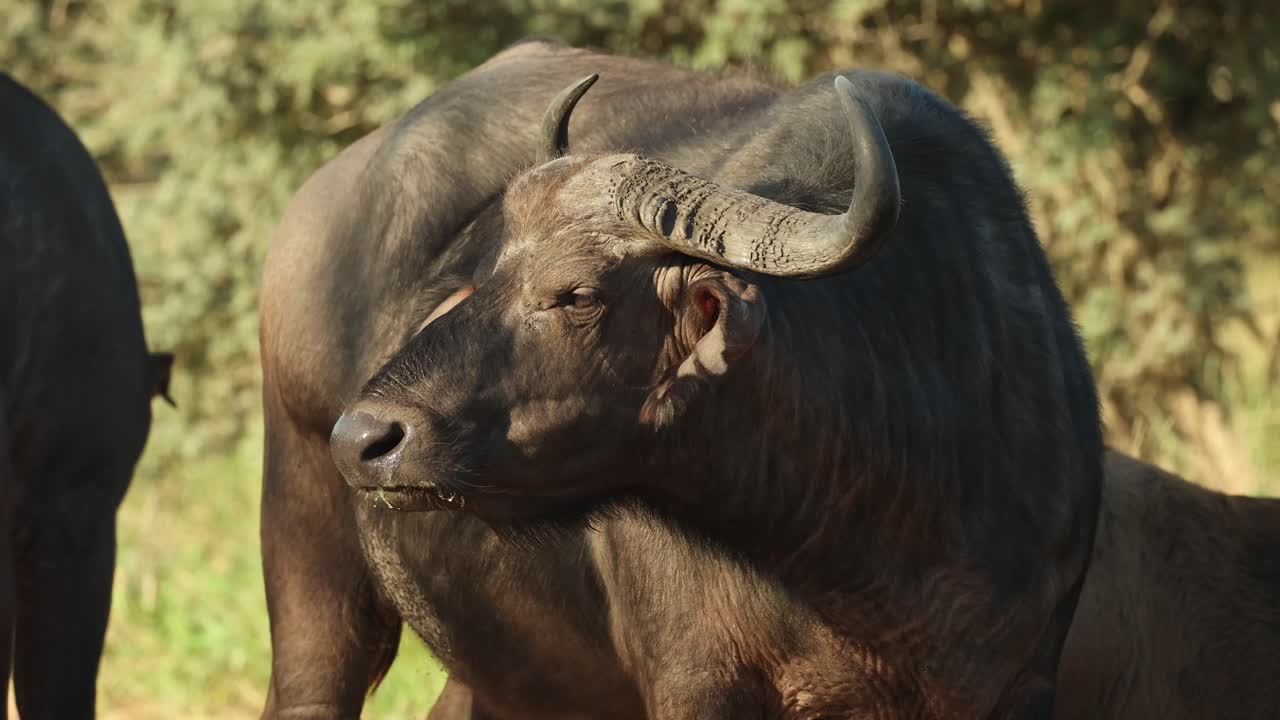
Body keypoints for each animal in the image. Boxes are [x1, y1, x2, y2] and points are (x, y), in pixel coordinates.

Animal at [260, 39, 1102, 718]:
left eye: (576, 294)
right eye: (485, 271)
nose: (366, 437)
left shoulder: (1024, 678)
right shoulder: (698, 680)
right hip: (309, 576)